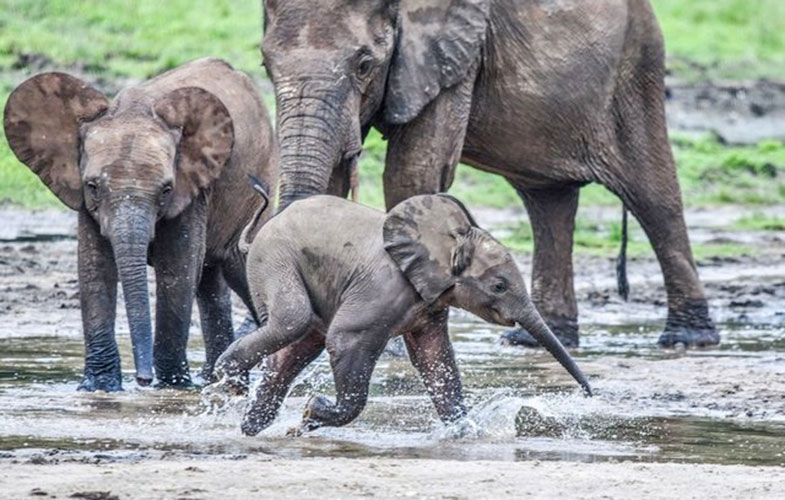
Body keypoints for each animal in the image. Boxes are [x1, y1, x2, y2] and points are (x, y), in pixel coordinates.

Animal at [2, 56, 278, 388]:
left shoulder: (191, 188)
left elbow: (176, 270)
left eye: (166, 190)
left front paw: (172, 386)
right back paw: (215, 379)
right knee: (211, 282)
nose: (143, 379)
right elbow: (94, 268)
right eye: (92, 186)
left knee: (242, 267)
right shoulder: (85, 201)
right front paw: (99, 387)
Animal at [211, 193, 592, 436]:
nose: (588, 395)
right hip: (274, 257)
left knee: (299, 344)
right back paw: (229, 380)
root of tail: (261, 231)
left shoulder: (430, 300)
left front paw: (463, 432)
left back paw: (251, 425)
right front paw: (311, 413)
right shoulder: (383, 288)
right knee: (294, 320)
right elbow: (347, 340)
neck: (450, 239)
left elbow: (433, 356)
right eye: (499, 286)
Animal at [258, 0, 716, 348]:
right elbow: (335, 180)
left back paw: (686, 338)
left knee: (652, 194)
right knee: (548, 203)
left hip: (635, 64)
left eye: (365, 64)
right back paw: (534, 340)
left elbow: (411, 171)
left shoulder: (450, 56)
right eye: (264, 65)